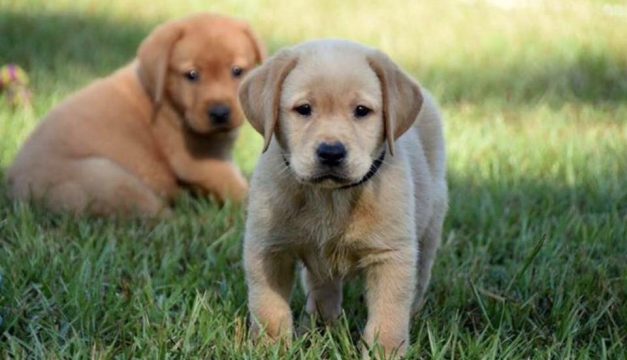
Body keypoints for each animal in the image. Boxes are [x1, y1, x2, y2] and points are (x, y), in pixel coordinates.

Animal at [238, 40, 448, 358]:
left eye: (361, 111)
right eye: (304, 109)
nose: (331, 152)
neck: (330, 198)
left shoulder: (391, 256)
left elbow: (388, 316)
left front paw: (385, 352)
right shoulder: (268, 249)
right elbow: (269, 308)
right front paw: (270, 348)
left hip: (430, 227)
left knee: (420, 276)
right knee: (323, 290)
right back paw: (320, 328)